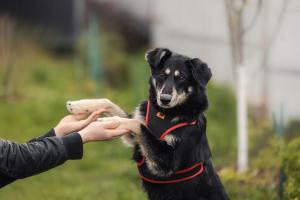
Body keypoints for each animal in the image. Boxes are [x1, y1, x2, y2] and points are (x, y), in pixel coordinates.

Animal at [67, 47, 229, 199]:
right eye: (162, 74)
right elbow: (109, 103)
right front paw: (79, 105)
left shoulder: (166, 162)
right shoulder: (135, 139)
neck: (165, 113)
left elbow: (137, 124)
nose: (164, 99)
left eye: (181, 77)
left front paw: (112, 120)